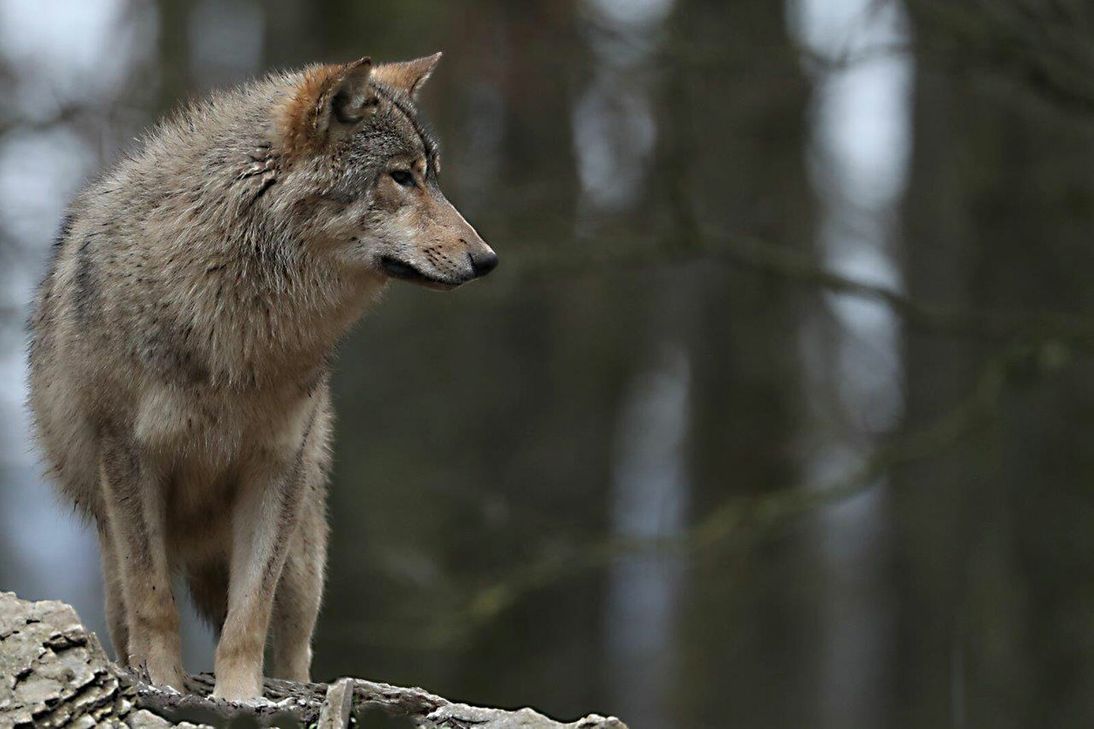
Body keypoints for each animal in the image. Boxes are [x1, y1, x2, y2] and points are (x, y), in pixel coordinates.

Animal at [26, 52, 496, 701]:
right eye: (403, 177)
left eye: (433, 177)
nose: (487, 260)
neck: (241, 326)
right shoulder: (130, 456)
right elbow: (156, 602)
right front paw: (165, 684)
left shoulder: (277, 465)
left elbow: (251, 611)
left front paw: (241, 697)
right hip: (116, 546)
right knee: (130, 613)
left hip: (304, 553)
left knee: (296, 648)